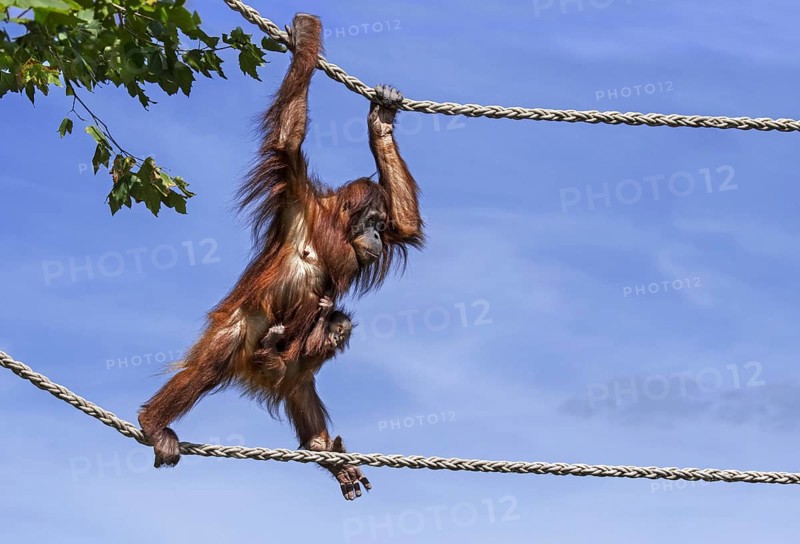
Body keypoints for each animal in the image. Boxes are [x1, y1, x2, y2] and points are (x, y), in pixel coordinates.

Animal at [137, 13, 423, 501]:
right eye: (370, 221)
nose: (375, 235)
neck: (333, 227)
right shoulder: (294, 192)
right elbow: (290, 138)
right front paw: (305, 38)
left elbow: (408, 225)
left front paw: (381, 120)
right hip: (243, 325)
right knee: (218, 354)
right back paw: (155, 423)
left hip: (293, 374)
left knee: (304, 378)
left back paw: (328, 451)